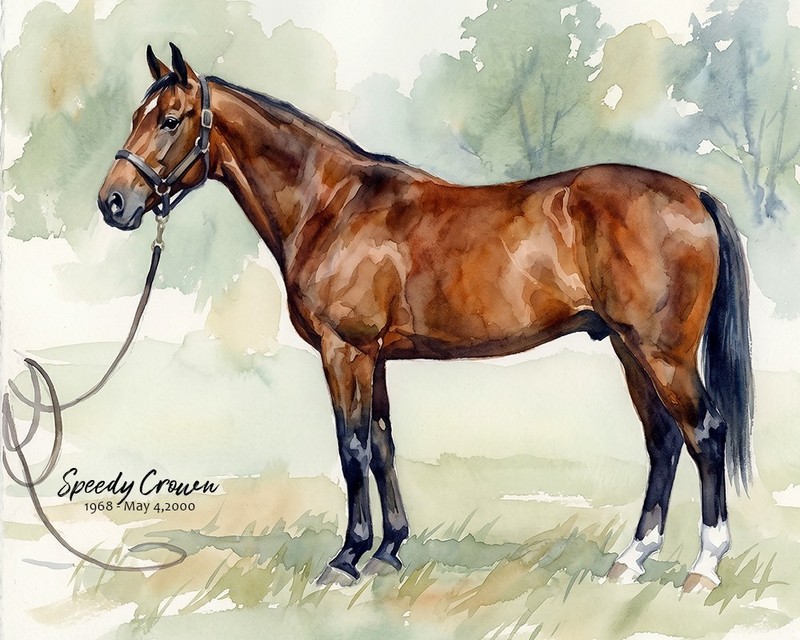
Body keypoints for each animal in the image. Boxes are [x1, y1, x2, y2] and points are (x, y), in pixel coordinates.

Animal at [98, 44, 753, 592]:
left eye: (170, 119)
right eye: (134, 115)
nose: (113, 202)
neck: (331, 205)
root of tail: (694, 195)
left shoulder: (345, 351)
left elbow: (352, 449)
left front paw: (347, 559)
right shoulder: (376, 358)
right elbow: (383, 445)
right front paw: (388, 551)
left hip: (662, 353)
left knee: (704, 434)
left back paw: (704, 567)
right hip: (626, 347)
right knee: (663, 440)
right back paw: (631, 560)